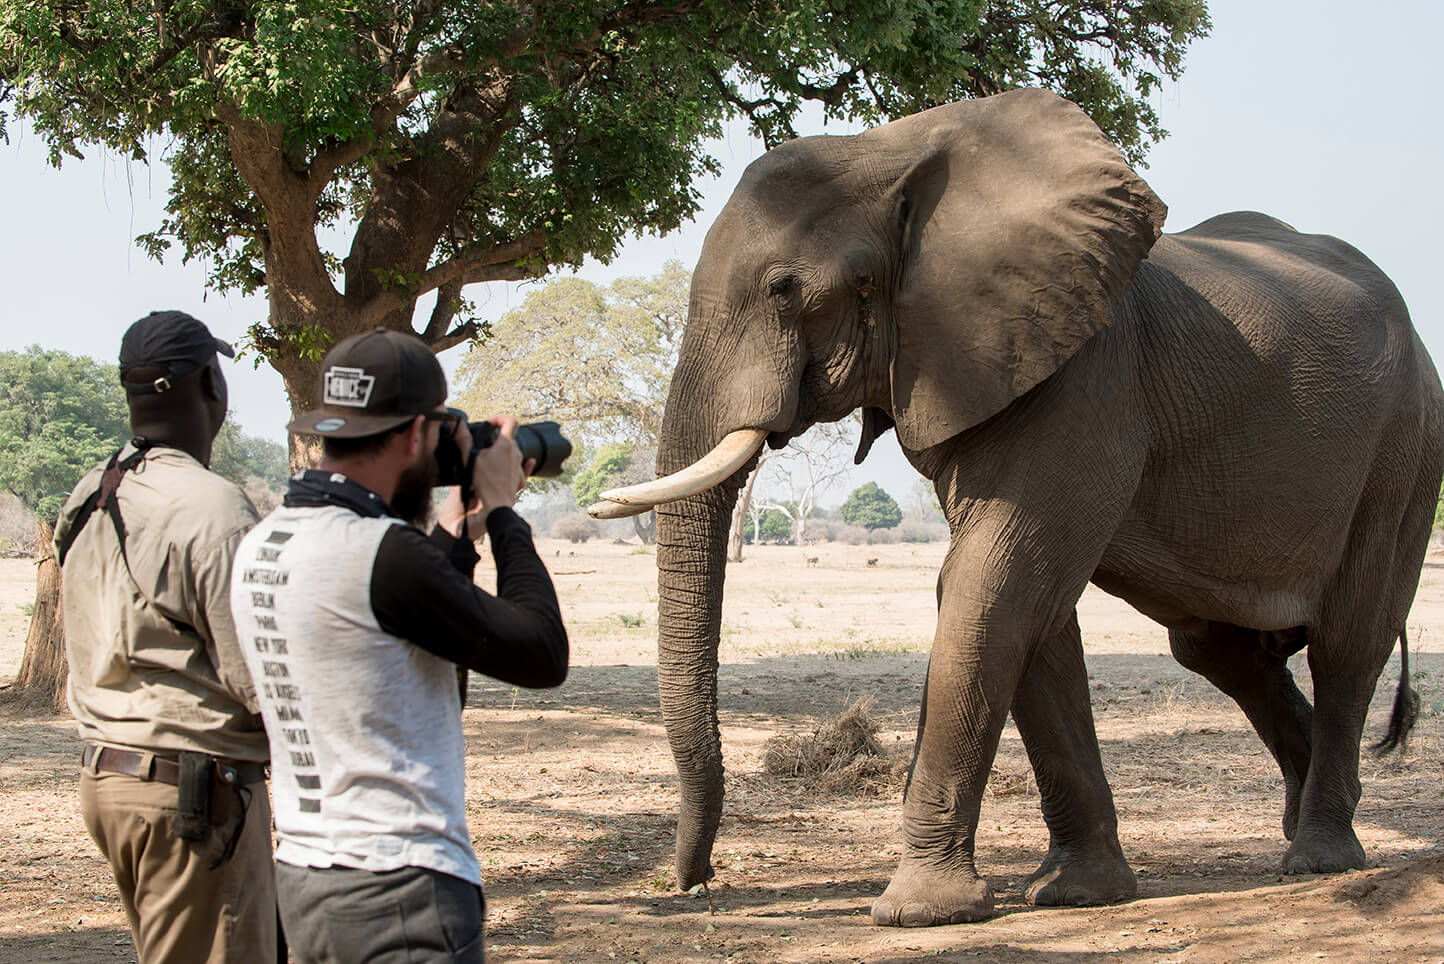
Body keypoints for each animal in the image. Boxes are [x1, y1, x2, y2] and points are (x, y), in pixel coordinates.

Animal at [589, 88, 1444, 923]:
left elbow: (989, 585)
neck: (895, 149)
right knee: (1218, 650)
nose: (697, 885)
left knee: (1347, 645)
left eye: (783, 290)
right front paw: (1075, 894)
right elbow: (1029, 608)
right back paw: (1299, 829)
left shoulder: (1083, 378)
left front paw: (920, 912)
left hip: (1405, 453)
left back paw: (1321, 857)